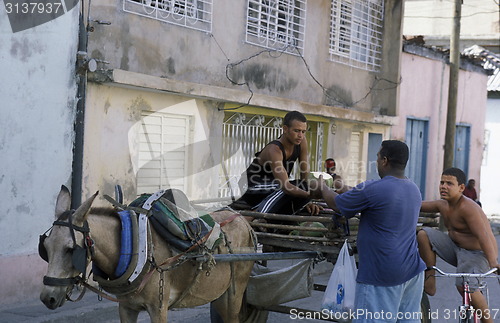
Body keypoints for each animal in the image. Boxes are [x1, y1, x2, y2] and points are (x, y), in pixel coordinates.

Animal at [40, 187, 256, 323]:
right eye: (45, 248)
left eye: (71, 249)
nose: (47, 298)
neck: (137, 245)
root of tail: (242, 219)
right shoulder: (126, 308)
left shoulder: (158, 309)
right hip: (219, 294)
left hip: (235, 291)